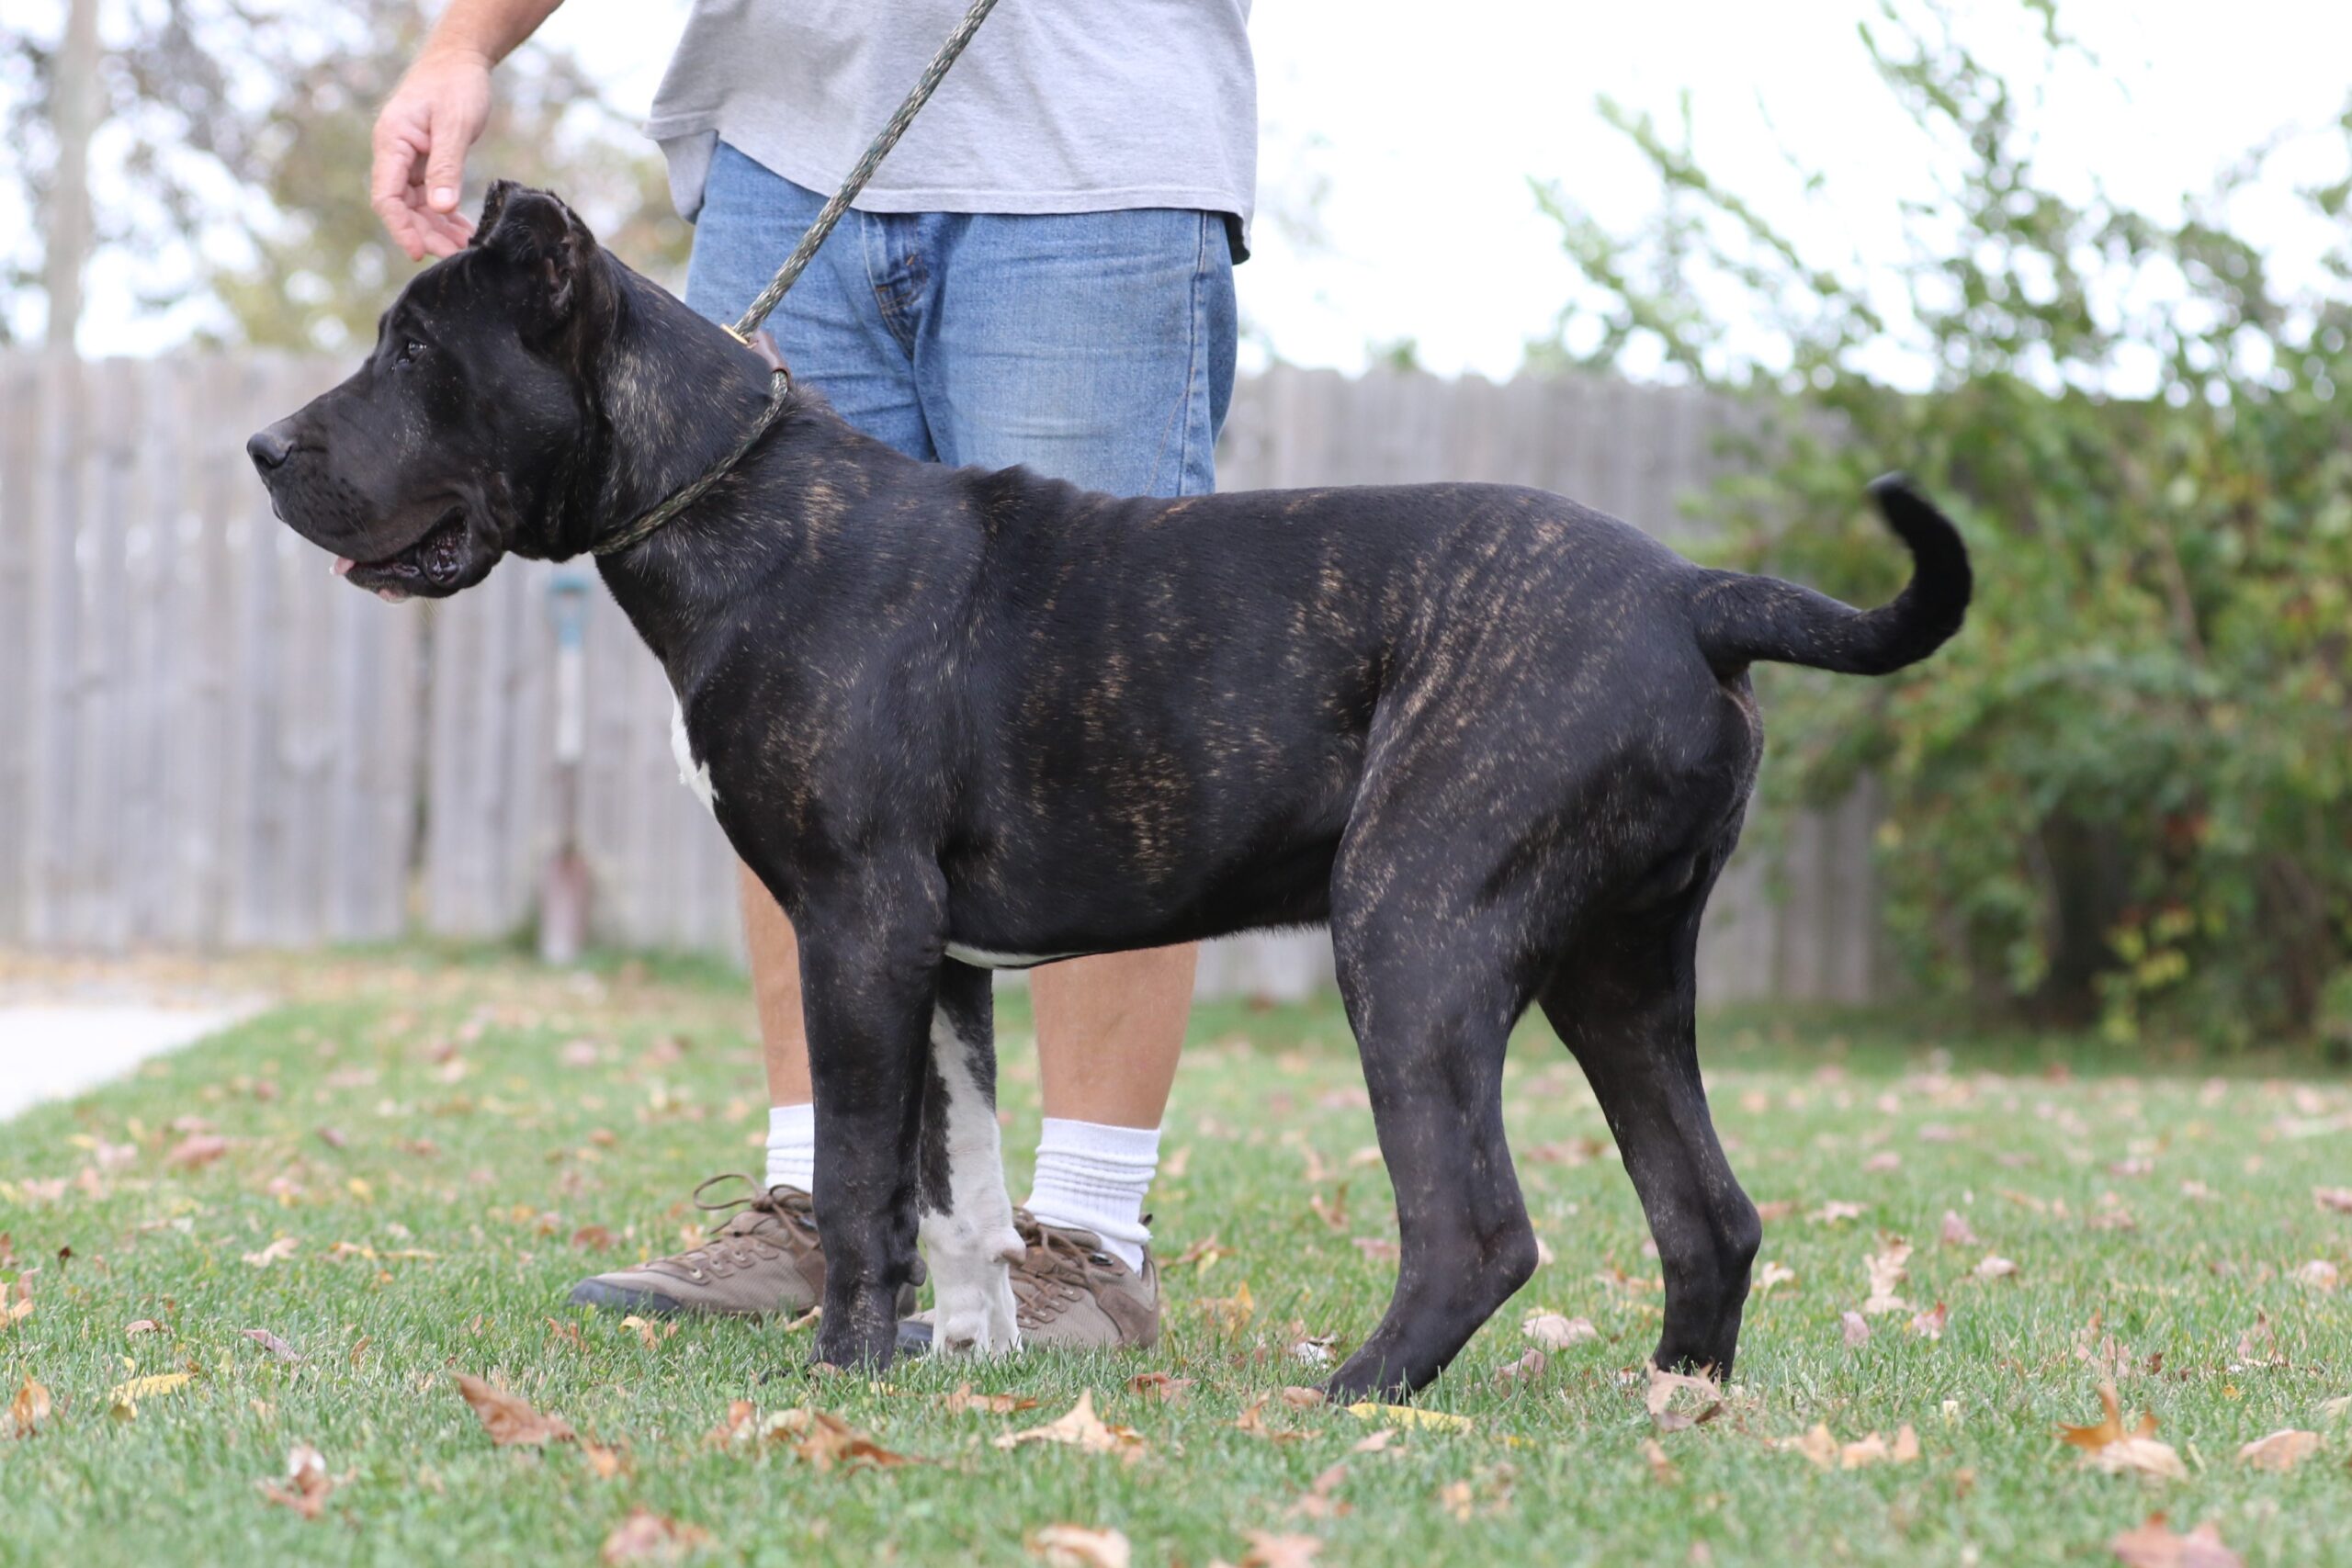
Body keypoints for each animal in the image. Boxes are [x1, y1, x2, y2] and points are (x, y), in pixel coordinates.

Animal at [249, 184, 1969, 1397]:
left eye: (416, 352)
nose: (267, 447)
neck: (736, 499)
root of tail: (1692, 591)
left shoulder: (855, 926)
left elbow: (862, 1173)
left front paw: (839, 1373)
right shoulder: (937, 958)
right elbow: (958, 1184)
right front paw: (962, 1357)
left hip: (1413, 932)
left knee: (1478, 1222)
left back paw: (1354, 1396)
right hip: (1620, 970)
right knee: (1706, 1207)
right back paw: (1679, 1404)